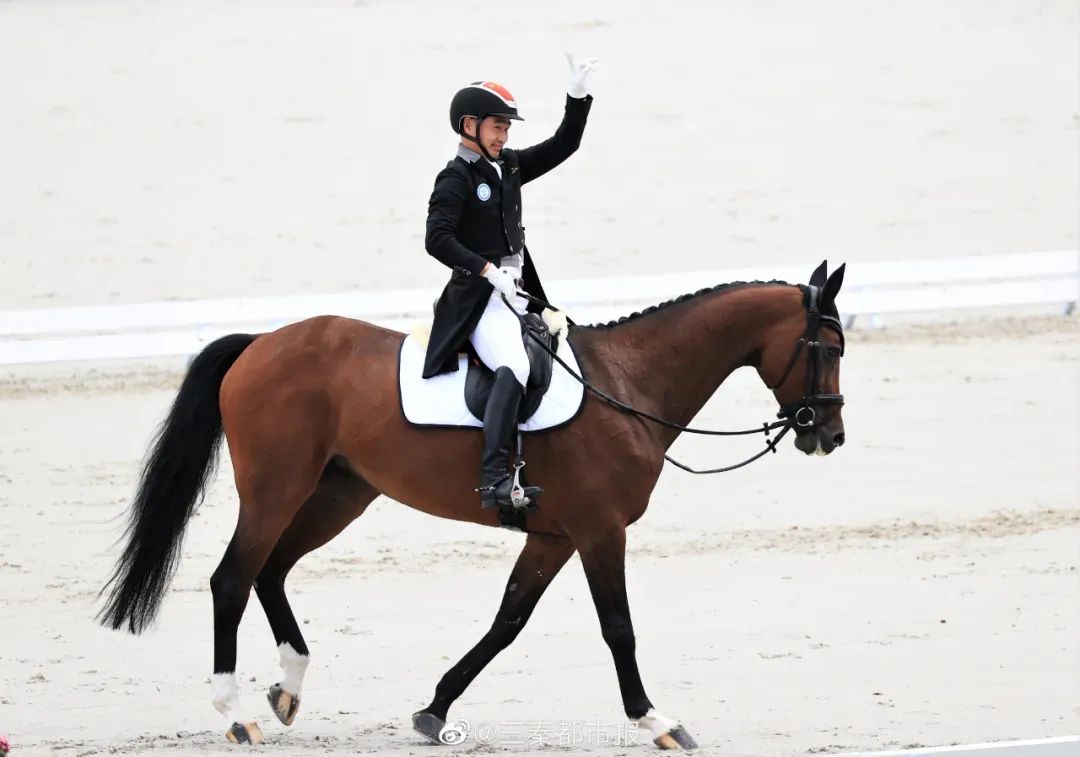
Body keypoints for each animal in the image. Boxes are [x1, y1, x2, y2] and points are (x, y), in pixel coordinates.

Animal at [97, 260, 846, 751]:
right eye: (829, 346)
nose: (829, 435)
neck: (628, 385)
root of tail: (259, 343)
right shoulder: (599, 530)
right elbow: (619, 628)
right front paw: (656, 720)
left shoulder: (554, 535)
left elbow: (508, 620)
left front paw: (433, 709)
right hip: (276, 486)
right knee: (233, 576)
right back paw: (234, 712)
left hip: (341, 492)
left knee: (272, 570)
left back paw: (289, 687)